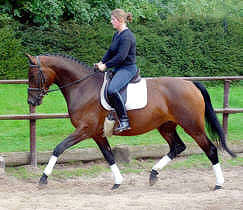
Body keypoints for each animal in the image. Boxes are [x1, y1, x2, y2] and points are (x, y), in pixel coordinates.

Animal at [25, 53, 234, 190]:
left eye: (33, 75)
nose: (31, 102)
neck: (82, 86)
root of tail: (191, 84)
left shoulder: (85, 130)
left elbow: (59, 148)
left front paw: (43, 178)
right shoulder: (96, 133)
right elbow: (109, 156)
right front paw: (117, 182)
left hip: (192, 125)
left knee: (210, 149)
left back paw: (219, 184)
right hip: (166, 126)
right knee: (177, 146)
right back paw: (153, 174)